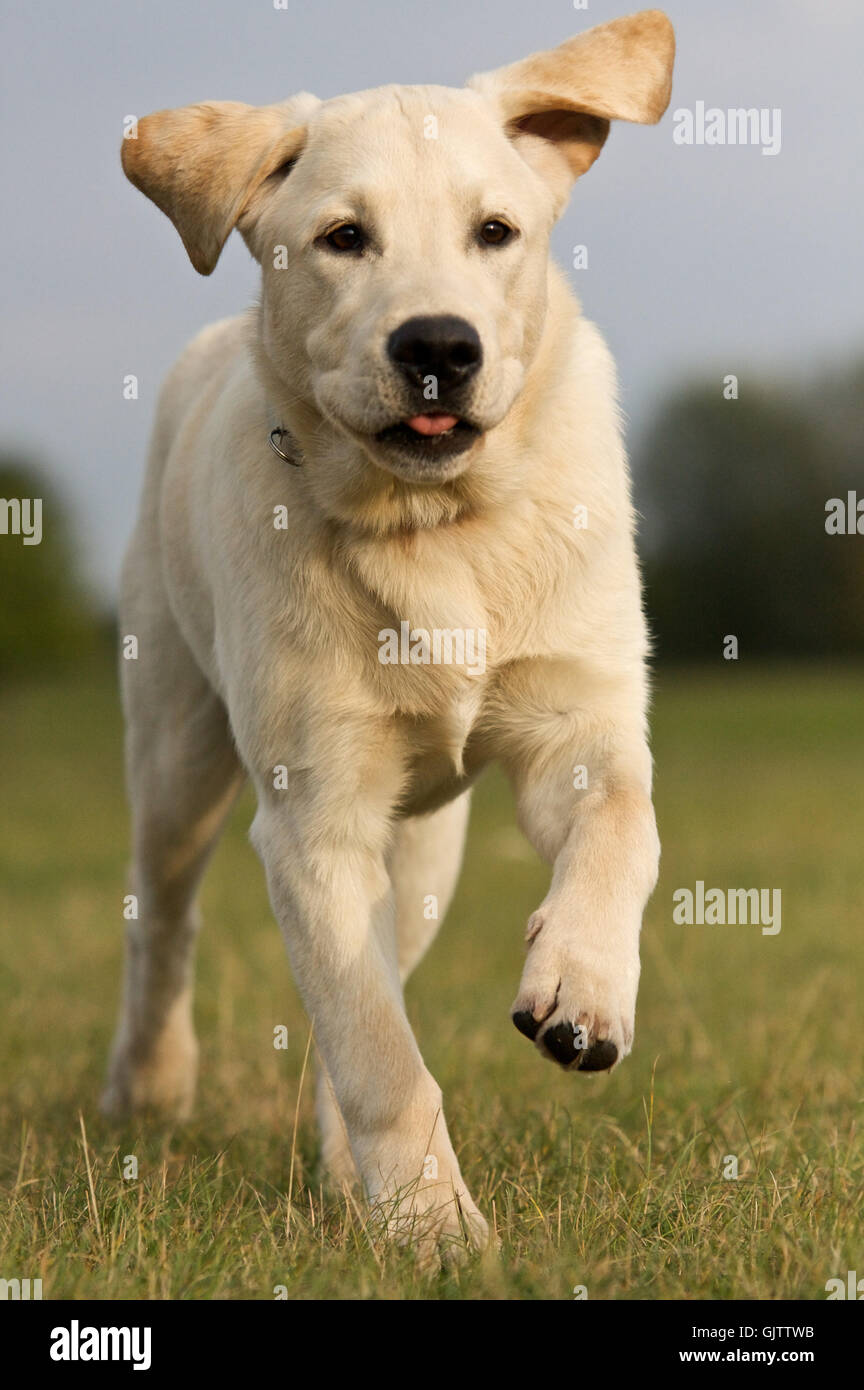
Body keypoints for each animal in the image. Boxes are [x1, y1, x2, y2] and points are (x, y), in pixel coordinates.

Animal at [104, 5, 677, 1256]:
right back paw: (150, 1088)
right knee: (169, 925)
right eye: (342, 237)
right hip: (176, 750)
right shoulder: (311, 817)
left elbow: (624, 823)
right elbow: (376, 1048)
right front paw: (434, 1230)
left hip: (423, 857)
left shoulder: (579, 721)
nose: (438, 347)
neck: (434, 525)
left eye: (496, 231)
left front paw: (584, 990)